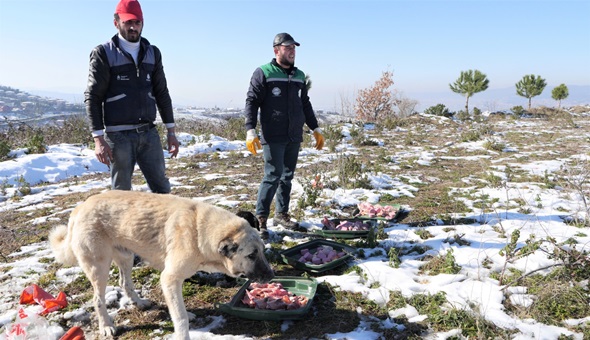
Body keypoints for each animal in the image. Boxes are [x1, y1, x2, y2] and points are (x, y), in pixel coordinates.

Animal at [49, 190, 276, 338]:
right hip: (100, 267)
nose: (272, 276)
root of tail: (79, 208)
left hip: (126, 257)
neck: (198, 230)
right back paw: (106, 326)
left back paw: (139, 303)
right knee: (98, 299)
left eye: (262, 251)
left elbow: (179, 309)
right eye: (252, 255)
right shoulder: (169, 278)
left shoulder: (174, 280)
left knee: (125, 283)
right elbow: (180, 316)